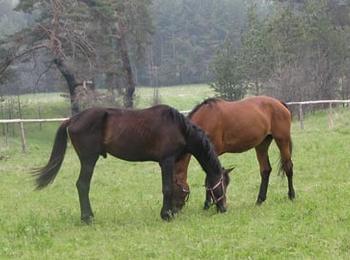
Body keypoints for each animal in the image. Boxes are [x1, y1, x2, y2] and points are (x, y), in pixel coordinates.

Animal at [32, 104, 230, 223]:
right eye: (221, 184)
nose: (223, 208)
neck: (179, 128)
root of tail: (72, 119)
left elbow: (174, 187)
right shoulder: (166, 161)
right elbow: (167, 188)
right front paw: (166, 215)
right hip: (89, 159)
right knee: (82, 185)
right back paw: (87, 218)